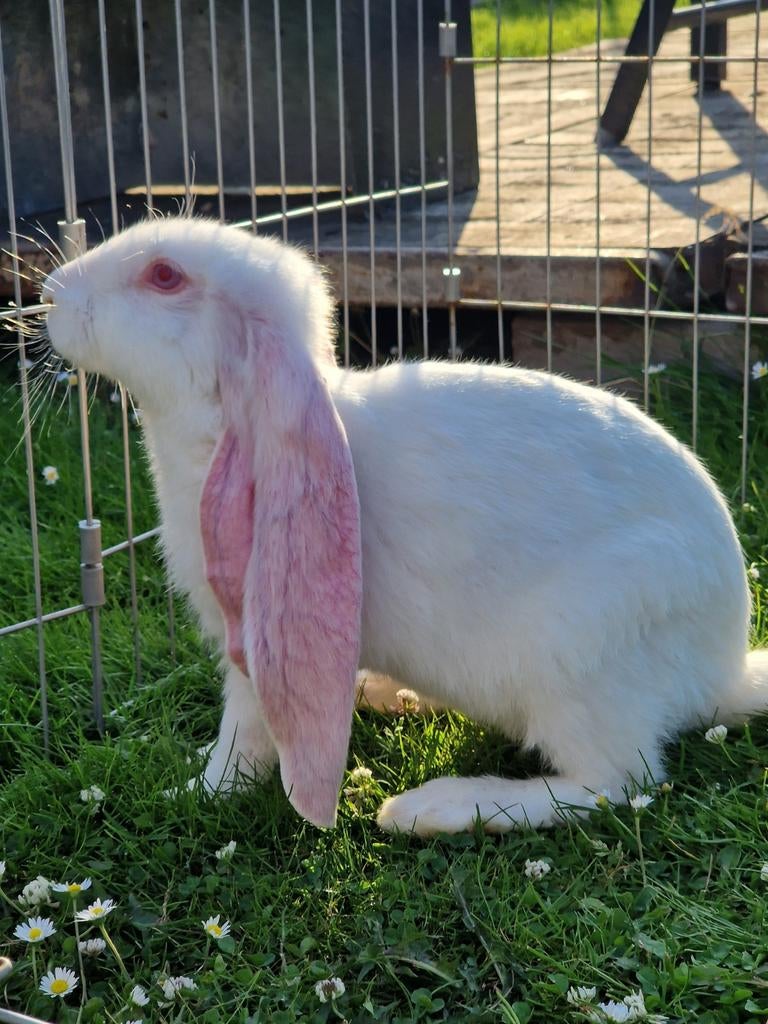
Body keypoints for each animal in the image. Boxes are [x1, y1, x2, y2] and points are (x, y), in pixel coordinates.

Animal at [42, 216, 768, 836]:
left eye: (164, 276)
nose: (49, 293)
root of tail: (720, 671)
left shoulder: (250, 638)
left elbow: (242, 738)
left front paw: (193, 793)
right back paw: (385, 695)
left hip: (580, 657)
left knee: (612, 782)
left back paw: (434, 808)